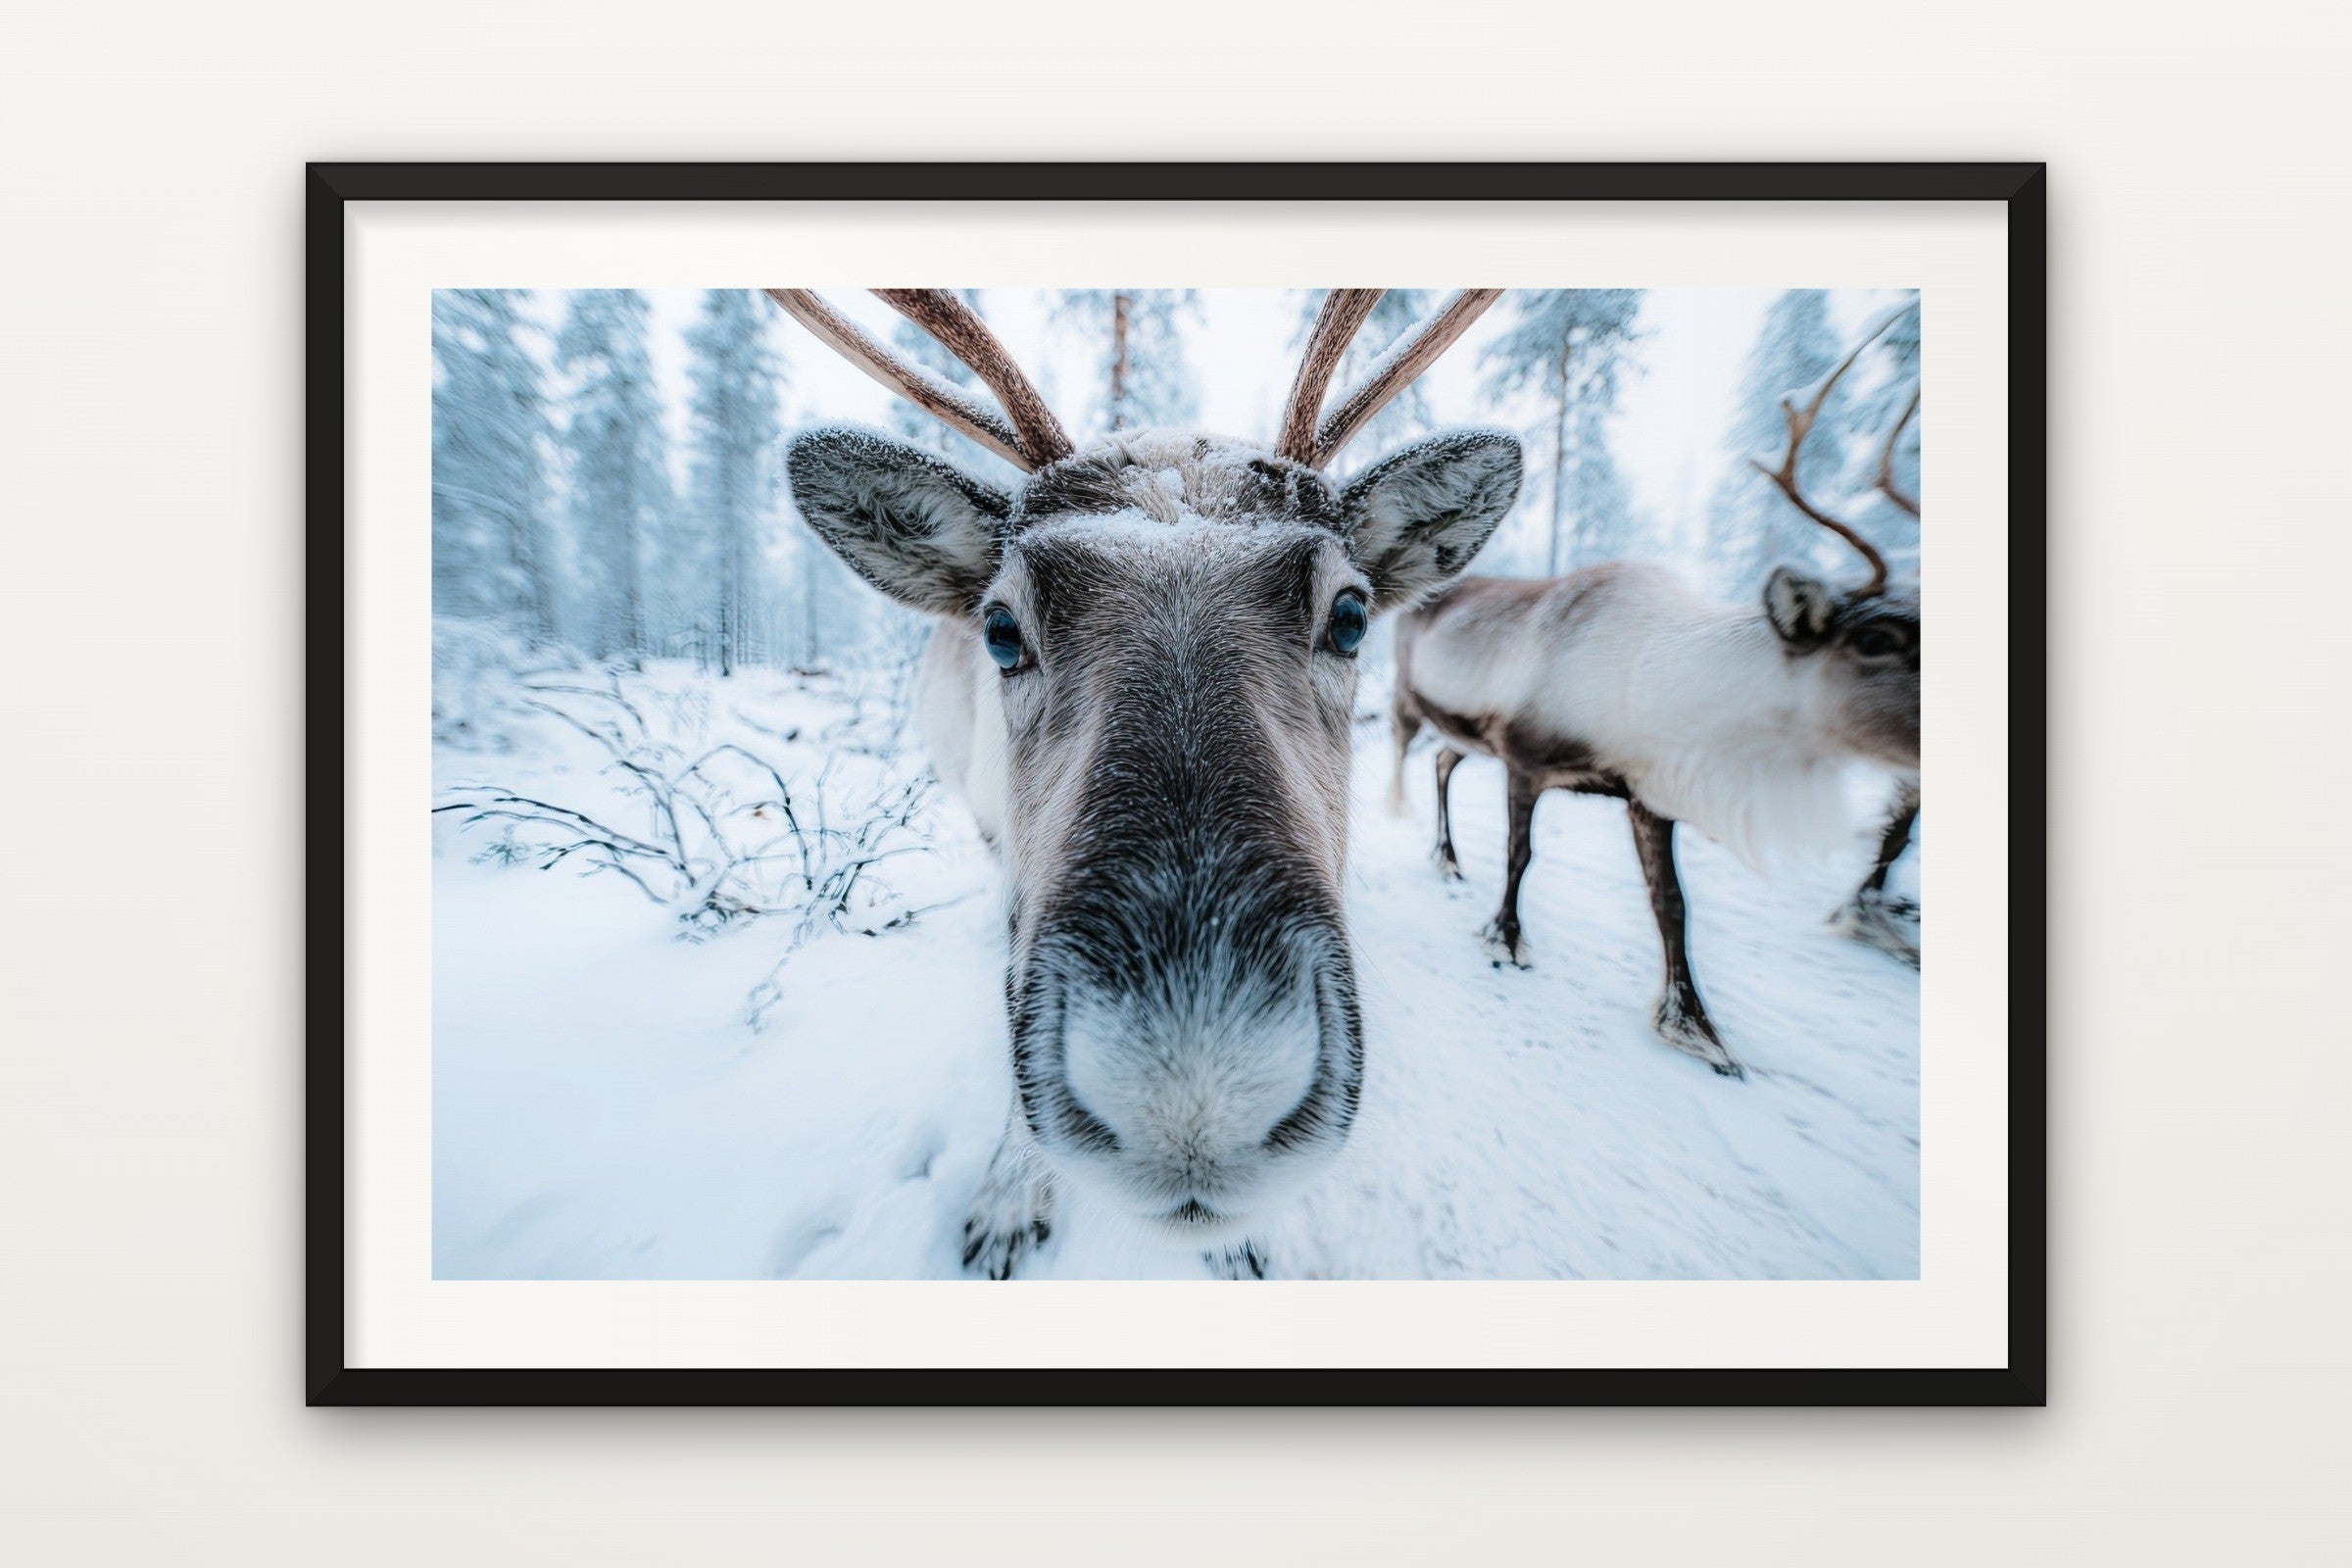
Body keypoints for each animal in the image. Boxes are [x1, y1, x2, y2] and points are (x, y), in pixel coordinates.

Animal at [1386, 304, 1921, 1079]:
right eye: (1874, 640)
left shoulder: (1647, 794)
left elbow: (1671, 904)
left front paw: (1695, 1025)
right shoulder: (1525, 758)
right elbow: (1522, 856)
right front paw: (1506, 937)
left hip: (1464, 732)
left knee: (1442, 760)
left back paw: (1449, 860)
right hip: (1412, 702)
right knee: (1412, 755)